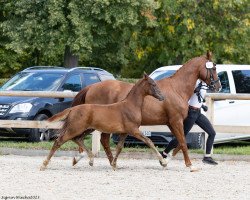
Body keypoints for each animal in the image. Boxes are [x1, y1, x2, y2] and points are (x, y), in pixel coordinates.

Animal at [70, 51, 221, 172]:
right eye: (213, 68)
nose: (218, 86)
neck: (177, 89)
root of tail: (91, 87)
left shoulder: (172, 123)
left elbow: (178, 142)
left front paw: (165, 160)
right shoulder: (176, 121)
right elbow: (182, 142)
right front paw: (190, 165)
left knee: (102, 140)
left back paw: (107, 162)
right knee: (99, 139)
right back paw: (86, 158)